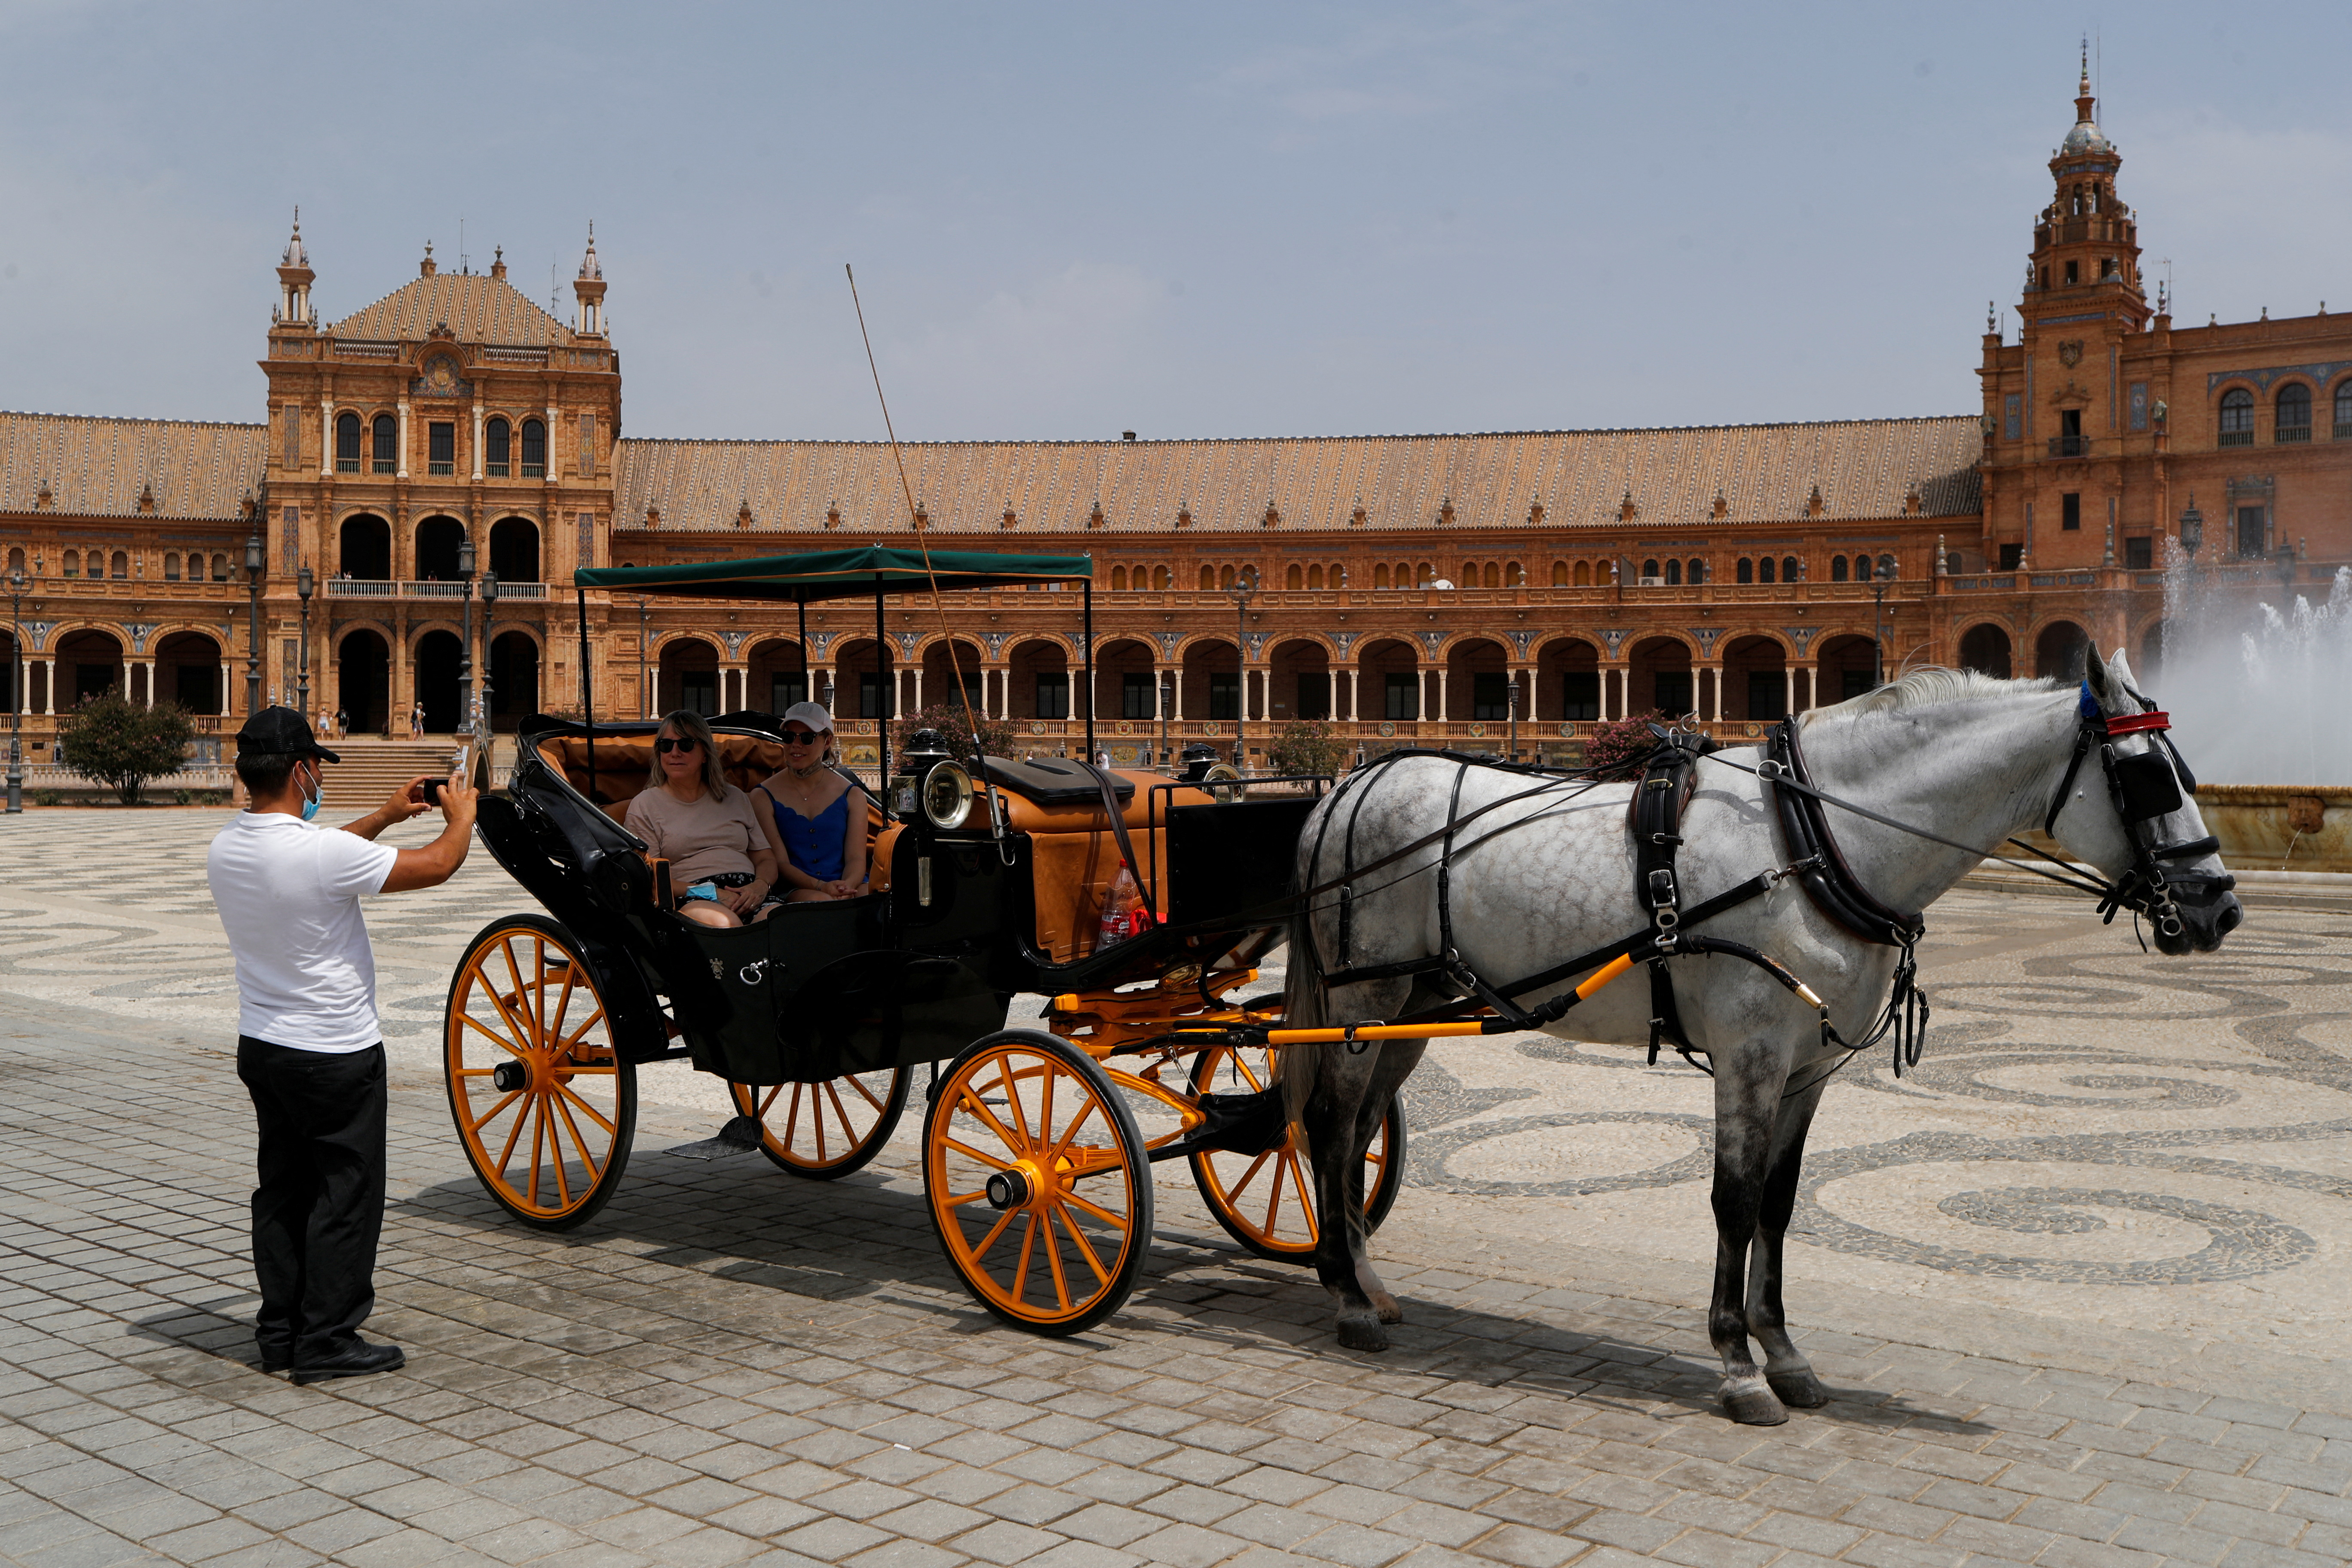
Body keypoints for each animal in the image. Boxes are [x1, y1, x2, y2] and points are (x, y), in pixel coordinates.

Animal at [1277, 646, 2242, 1425]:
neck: (1817, 839)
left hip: (1414, 1008)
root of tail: (1344, 789)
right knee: (1328, 1125)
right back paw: (1347, 1299)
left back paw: (1367, 1282)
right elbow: (1733, 1199)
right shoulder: (1749, 1055)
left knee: (1360, 1132)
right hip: (1365, 997)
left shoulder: (1809, 1068)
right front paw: (1738, 1364)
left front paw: (1784, 1354)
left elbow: (1778, 1204)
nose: (2219, 907)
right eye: (2151, 779)